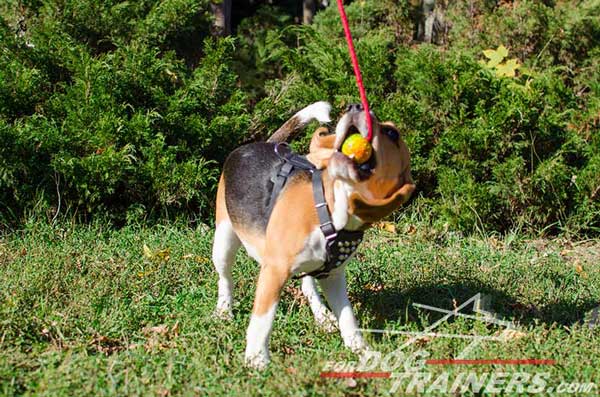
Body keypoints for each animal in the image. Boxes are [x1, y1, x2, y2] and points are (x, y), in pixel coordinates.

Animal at [213, 101, 414, 368]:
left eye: (392, 133)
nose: (355, 106)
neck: (330, 211)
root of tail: (262, 143)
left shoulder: (333, 276)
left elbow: (348, 319)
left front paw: (363, 352)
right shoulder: (274, 270)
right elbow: (262, 321)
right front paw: (257, 359)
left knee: (308, 286)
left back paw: (322, 315)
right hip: (224, 240)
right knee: (225, 279)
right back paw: (224, 311)